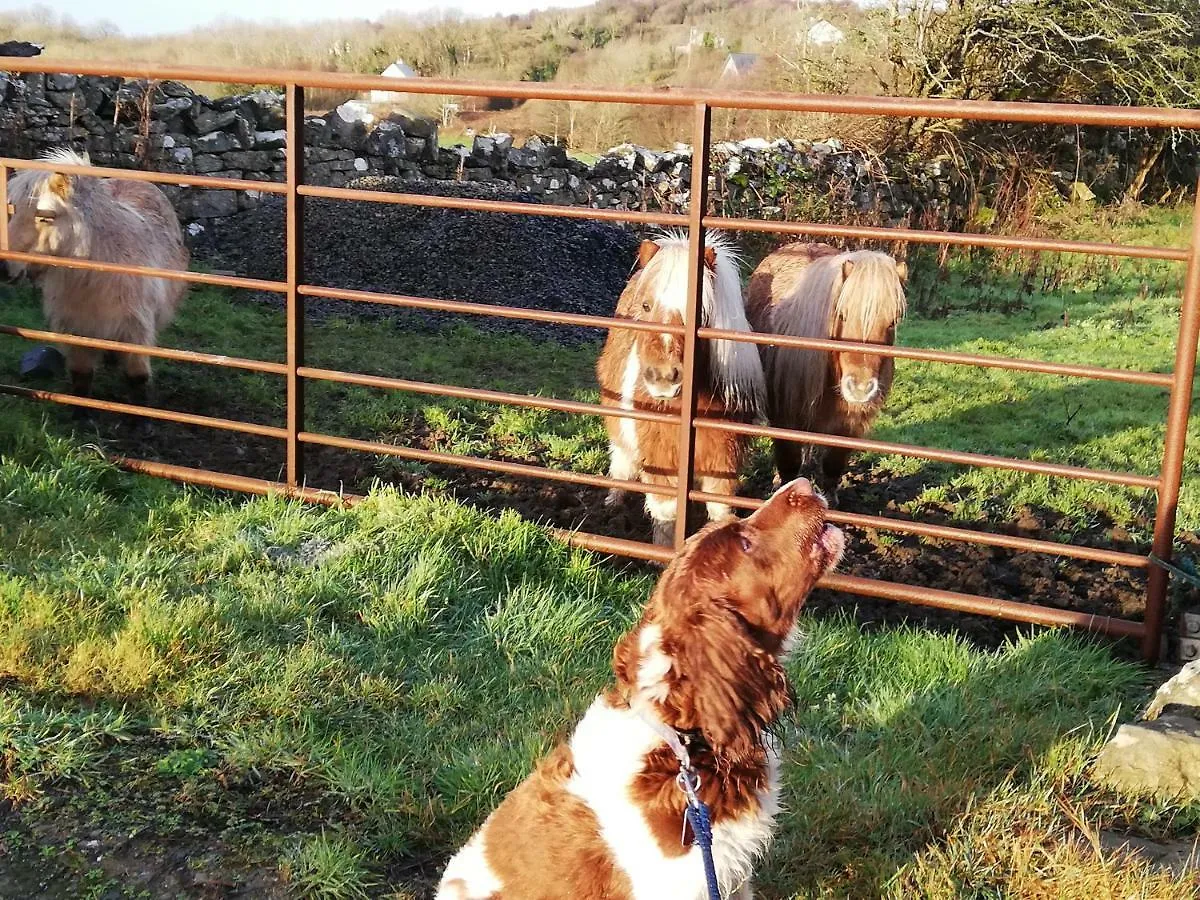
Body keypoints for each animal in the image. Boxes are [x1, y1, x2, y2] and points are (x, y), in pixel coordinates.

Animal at [5, 148, 189, 400]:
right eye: (12, 211)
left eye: (46, 217)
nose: (3, 266)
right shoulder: (76, 330)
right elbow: (81, 380)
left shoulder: (136, 330)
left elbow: (137, 379)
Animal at [595, 229, 763, 547]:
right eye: (646, 306)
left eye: (698, 310)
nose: (663, 377)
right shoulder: (660, 460)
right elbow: (666, 514)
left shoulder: (724, 461)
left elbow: (720, 511)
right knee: (621, 461)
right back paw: (612, 503)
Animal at [744, 243, 902, 504]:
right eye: (842, 314)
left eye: (892, 322)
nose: (860, 388)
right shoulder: (784, 417)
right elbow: (789, 463)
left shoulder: (849, 423)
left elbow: (832, 465)